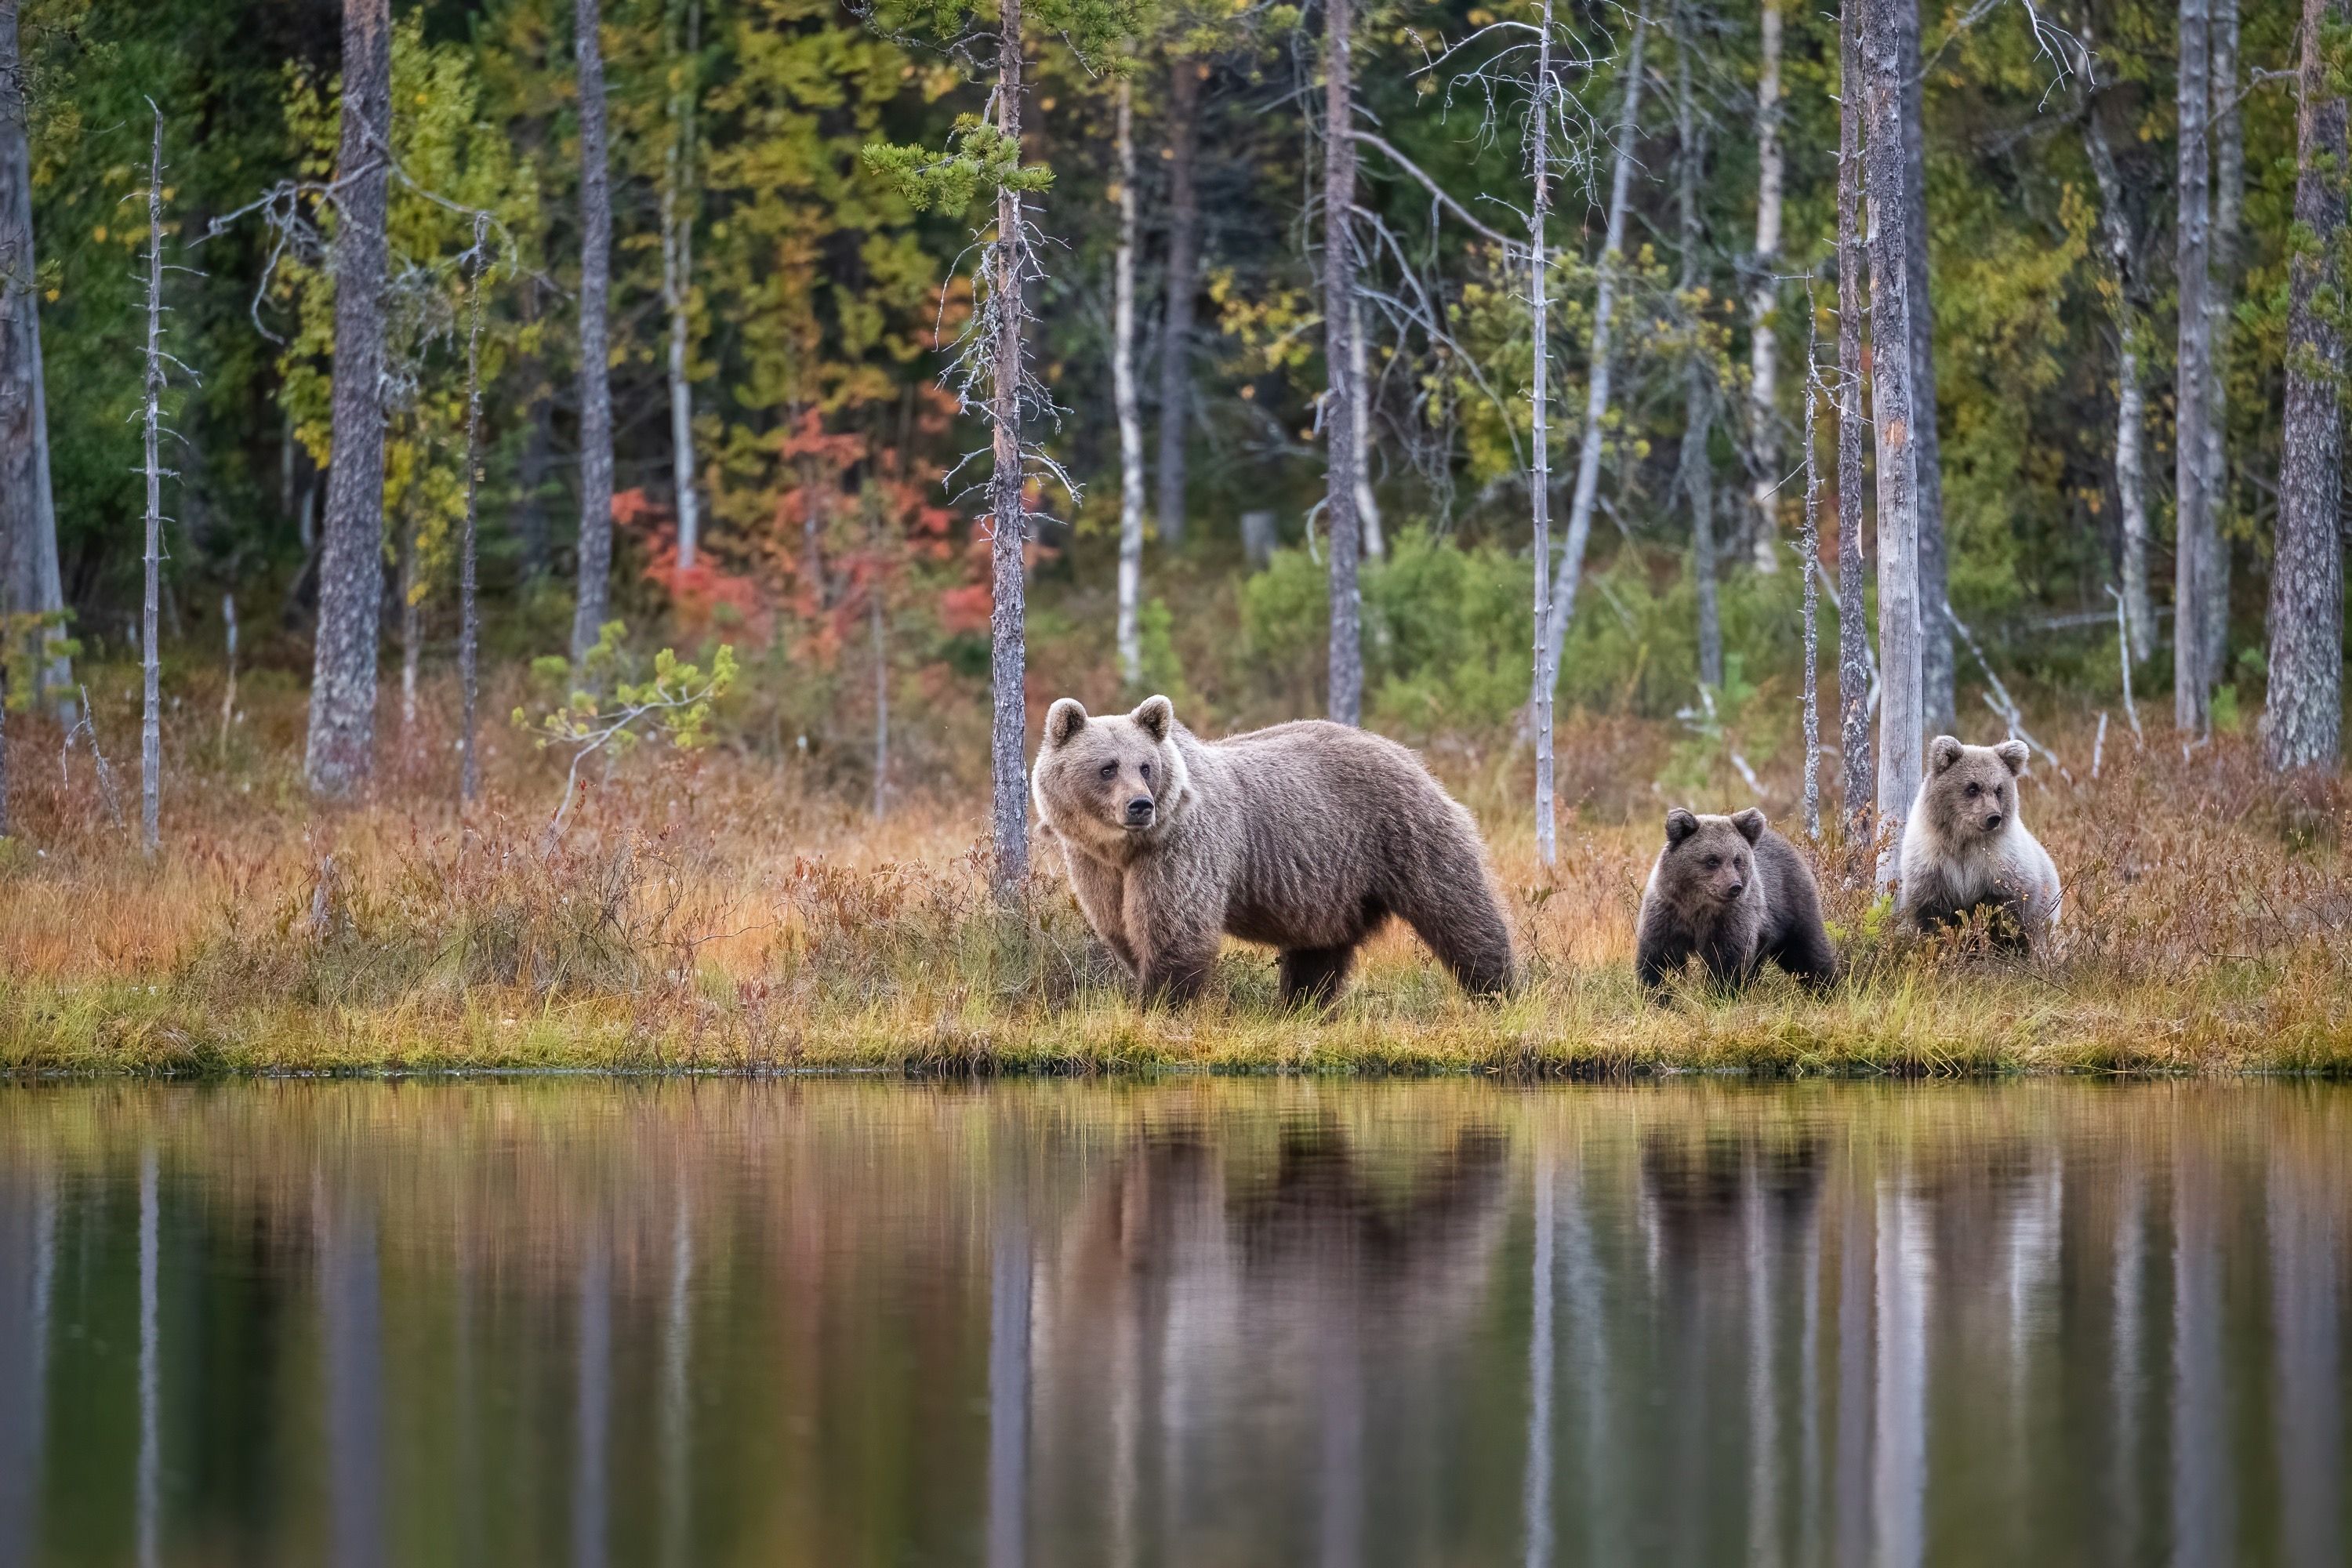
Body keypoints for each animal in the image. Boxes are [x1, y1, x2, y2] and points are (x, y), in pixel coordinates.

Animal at [1029, 695, 1517, 1006]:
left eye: (1146, 766)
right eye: (1107, 767)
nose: (1140, 805)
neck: (1124, 848)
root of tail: (1409, 756)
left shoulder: (1182, 847)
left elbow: (1176, 927)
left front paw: (1160, 1002)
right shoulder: (1095, 865)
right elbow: (1121, 926)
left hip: (1404, 833)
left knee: (1459, 912)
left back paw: (1499, 990)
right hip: (1333, 886)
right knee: (1319, 949)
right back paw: (1302, 1004)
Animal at [1635, 808, 1836, 995]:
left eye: (1737, 859)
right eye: (1712, 860)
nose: (1735, 886)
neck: (1698, 908)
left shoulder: (1731, 920)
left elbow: (1728, 962)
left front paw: (1721, 995)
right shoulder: (1667, 915)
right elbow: (1658, 960)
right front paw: (1656, 994)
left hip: (1791, 906)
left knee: (1807, 951)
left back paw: (1827, 989)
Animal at [1897, 735, 2062, 952]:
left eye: (1999, 788)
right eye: (1973, 787)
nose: (1993, 817)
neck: (1965, 840)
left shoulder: (2000, 864)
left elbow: (2003, 914)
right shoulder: (1932, 865)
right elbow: (1932, 917)